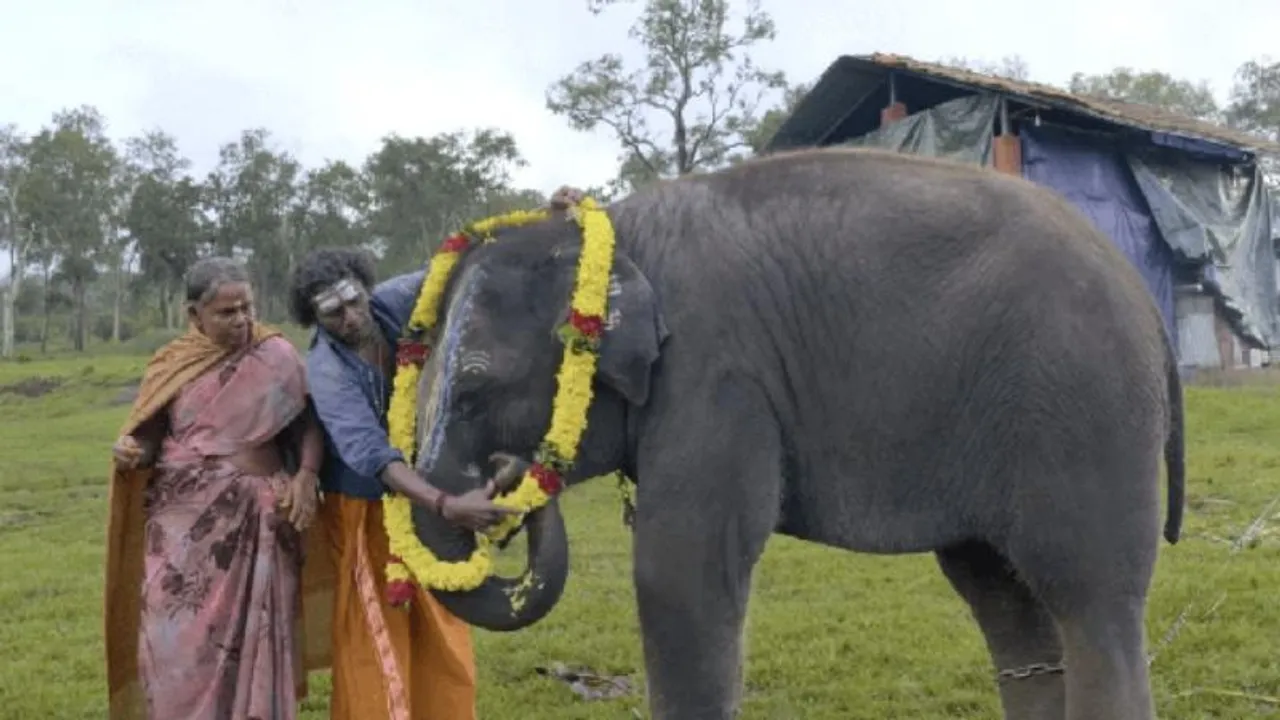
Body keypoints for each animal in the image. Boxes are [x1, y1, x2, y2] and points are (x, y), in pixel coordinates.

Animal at [407, 146, 1186, 720]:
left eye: (473, 392)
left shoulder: (717, 375)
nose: (505, 480)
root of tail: (1146, 298)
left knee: (1089, 600)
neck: (617, 233)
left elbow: (679, 573)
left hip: (1083, 404)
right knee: (1005, 601)